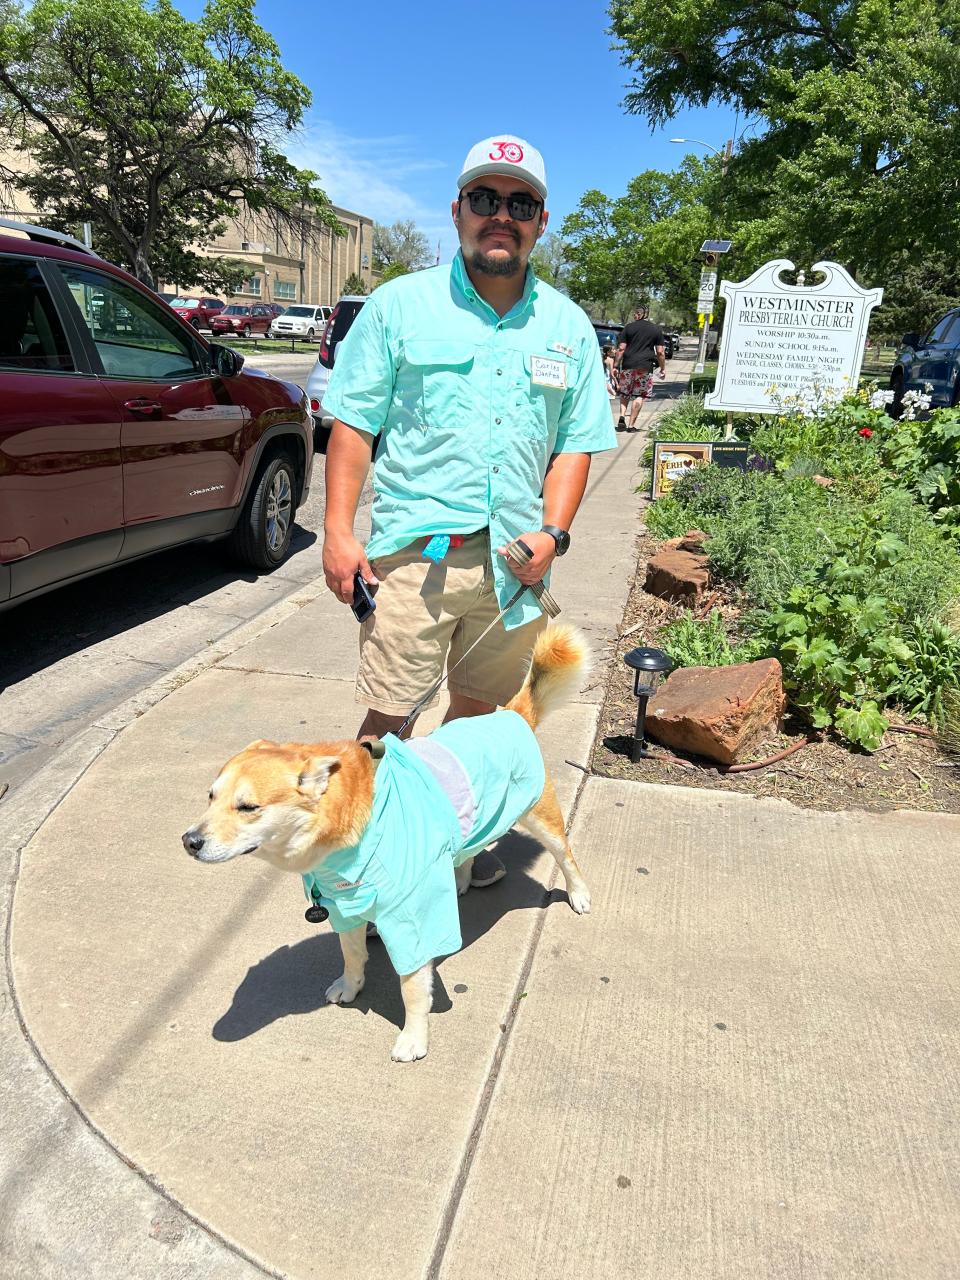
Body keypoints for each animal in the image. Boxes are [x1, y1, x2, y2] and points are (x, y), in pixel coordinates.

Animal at [183, 622, 591, 1059]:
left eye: (248, 807)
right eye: (210, 797)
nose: (189, 840)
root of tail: (512, 714)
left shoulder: (413, 918)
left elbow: (412, 987)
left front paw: (414, 1037)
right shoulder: (342, 905)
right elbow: (352, 953)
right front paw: (351, 986)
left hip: (539, 818)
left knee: (567, 856)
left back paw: (578, 894)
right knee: (468, 849)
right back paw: (460, 880)